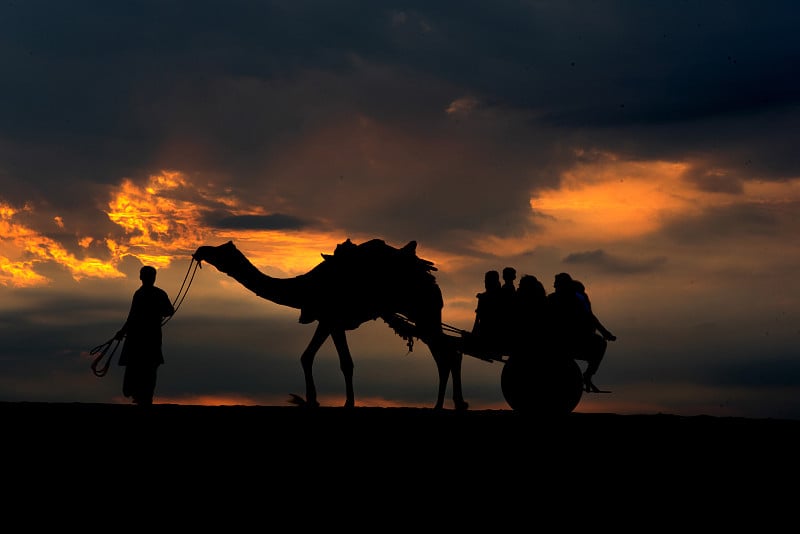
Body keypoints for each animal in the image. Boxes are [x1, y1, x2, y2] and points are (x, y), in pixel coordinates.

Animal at [192, 239, 468, 410]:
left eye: (220, 250)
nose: (200, 250)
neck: (304, 288)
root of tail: (433, 281)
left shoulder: (333, 320)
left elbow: (345, 363)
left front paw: (346, 403)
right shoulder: (326, 320)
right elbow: (307, 356)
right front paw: (311, 400)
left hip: (424, 312)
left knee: (447, 354)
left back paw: (443, 404)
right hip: (425, 317)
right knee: (449, 353)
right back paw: (451, 404)